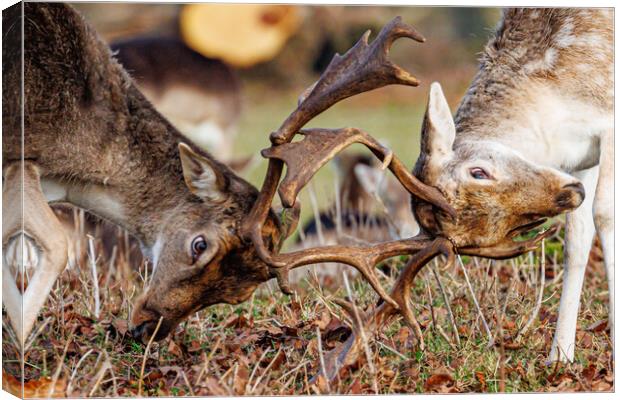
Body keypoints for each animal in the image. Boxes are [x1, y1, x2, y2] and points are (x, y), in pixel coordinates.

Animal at [412, 7, 616, 362]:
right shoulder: (582, 158)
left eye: (479, 172)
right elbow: (577, 238)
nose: (569, 194)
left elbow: (605, 213)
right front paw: (559, 356)